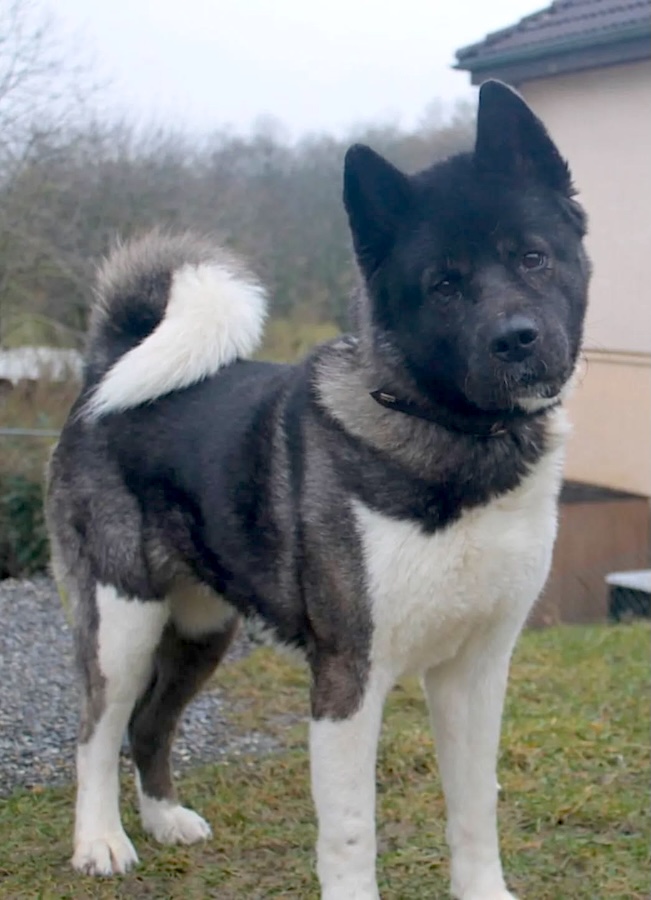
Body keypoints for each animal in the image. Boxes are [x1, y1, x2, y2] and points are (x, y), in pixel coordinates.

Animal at [46, 80, 590, 899]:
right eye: (443, 287)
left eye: (532, 257)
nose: (516, 339)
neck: (453, 438)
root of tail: (107, 368)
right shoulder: (348, 679)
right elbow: (350, 830)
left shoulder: (475, 671)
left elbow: (475, 805)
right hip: (123, 622)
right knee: (95, 732)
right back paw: (101, 841)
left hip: (203, 627)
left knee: (148, 725)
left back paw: (166, 819)